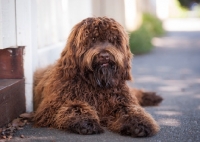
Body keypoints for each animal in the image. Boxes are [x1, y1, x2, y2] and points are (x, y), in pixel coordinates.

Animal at [33, 17, 162, 137]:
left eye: (112, 40)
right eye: (92, 39)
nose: (104, 56)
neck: (96, 84)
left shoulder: (122, 100)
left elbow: (130, 109)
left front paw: (139, 124)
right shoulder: (51, 108)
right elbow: (74, 106)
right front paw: (86, 122)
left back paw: (151, 97)